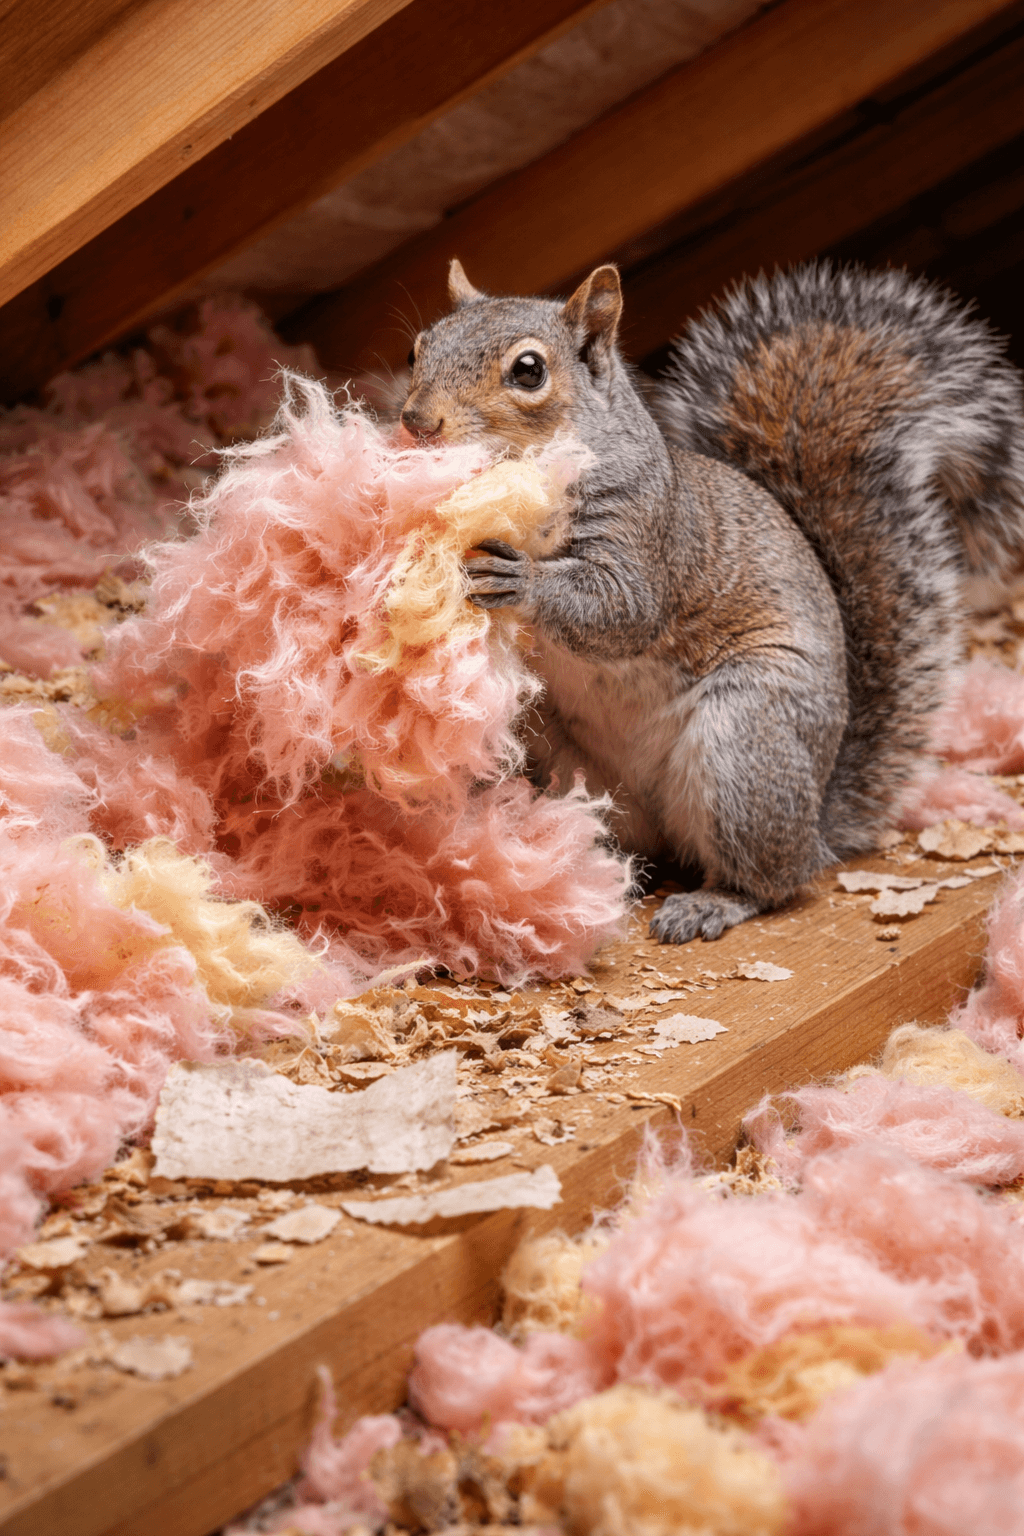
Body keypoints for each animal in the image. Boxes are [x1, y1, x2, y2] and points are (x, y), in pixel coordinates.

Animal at [398, 258, 1024, 943]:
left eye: (529, 370)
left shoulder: (645, 534)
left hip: (745, 742)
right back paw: (585, 871)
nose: (417, 422)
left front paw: (523, 580)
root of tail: (816, 821)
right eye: (416, 348)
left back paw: (712, 901)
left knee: (774, 880)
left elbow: (622, 610)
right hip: (570, 763)